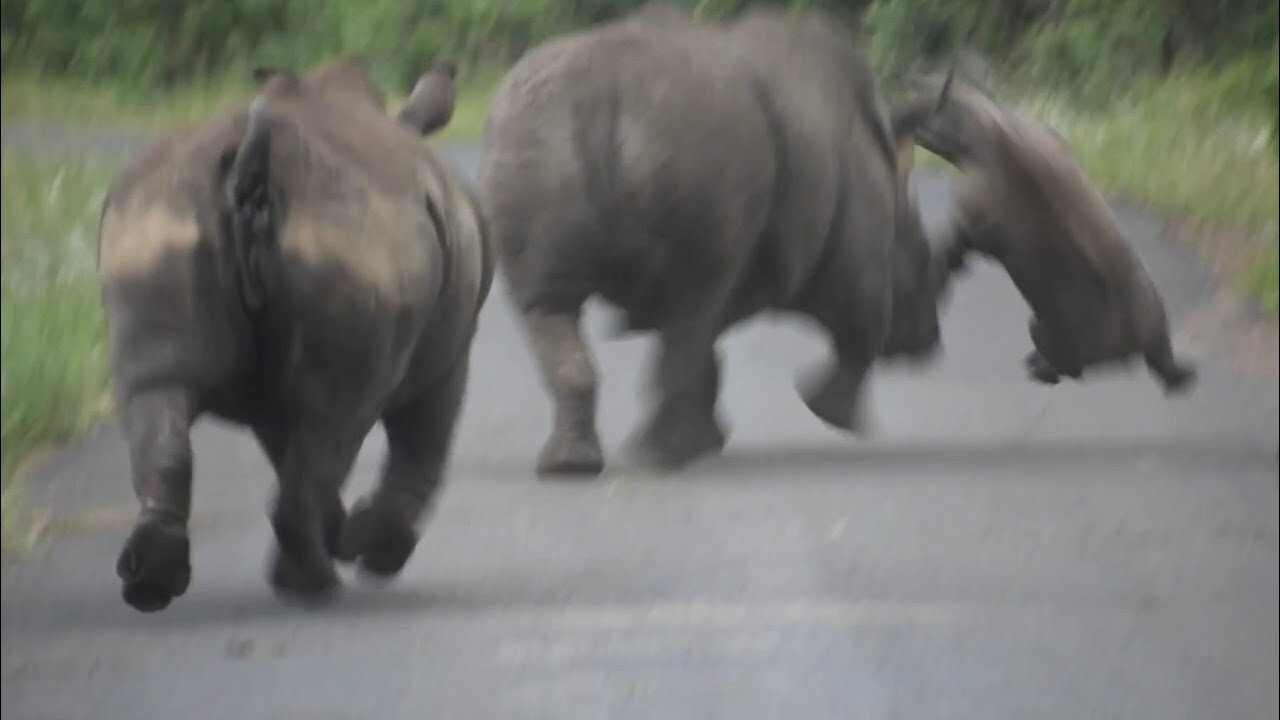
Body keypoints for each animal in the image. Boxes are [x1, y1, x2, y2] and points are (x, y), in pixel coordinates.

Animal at [94, 54, 491, 609]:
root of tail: (252, 168)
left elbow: (287, 447)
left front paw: (347, 537)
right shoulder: (452, 351)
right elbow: (423, 438)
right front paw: (373, 549)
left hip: (156, 224)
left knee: (156, 390)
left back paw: (151, 583)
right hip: (356, 242)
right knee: (337, 419)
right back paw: (315, 584)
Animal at [481, 7, 952, 476]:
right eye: (924, 262)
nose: (929, 339)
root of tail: (600, 93)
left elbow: (708, 355)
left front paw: (709, 438)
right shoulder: (853, 240)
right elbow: (861, 318)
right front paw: (834, 417)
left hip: (532, 137)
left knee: (548, 303)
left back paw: (574, 465)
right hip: (698, 142)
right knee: (689, 304)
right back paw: (662, 459)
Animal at [890, 74, 1198, 389]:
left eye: (920, 109)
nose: (895, 117)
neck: (987, 134)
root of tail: (1153, 344)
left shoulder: (968, 229)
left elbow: (944, 255)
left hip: (1042, 328)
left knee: (1068, 369)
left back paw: (1040, 367)